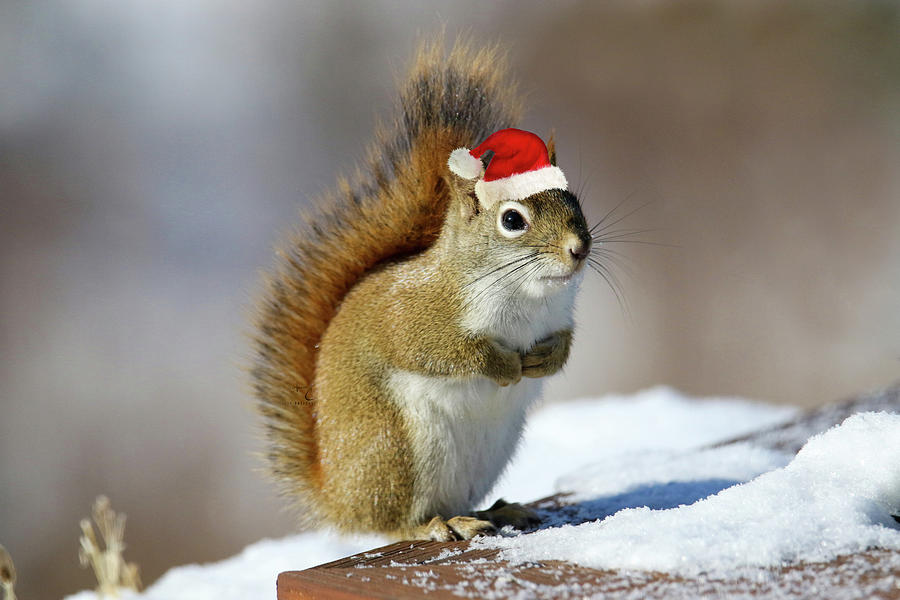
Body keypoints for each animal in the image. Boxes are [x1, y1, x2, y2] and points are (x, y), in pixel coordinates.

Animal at [251, 39, 592, 540]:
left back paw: (495, 512)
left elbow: (564, 344)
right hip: (395, 449)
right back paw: (431, 526)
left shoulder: (559, 317)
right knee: (389, 521)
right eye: (513, 219)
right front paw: (502, 363)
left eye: (575, 203)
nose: (579, 248)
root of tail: (337, 497)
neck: (530, 295)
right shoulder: (415, 315)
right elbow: (436, 350)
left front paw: (544, 359)